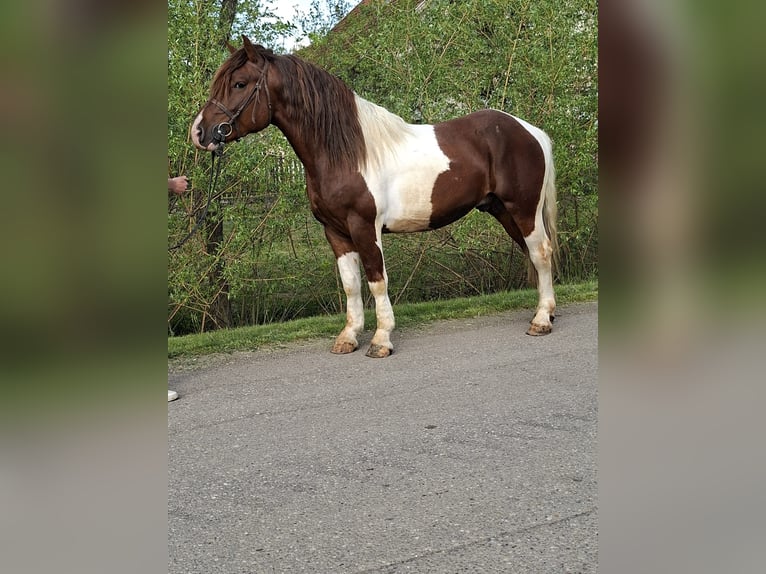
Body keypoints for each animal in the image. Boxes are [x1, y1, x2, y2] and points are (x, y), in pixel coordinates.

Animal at [191, 36, 558, 358]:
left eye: (239, 84)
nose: (200, 133)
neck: (344, 153)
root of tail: (529, 130)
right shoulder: (336, 232)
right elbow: (351, 284)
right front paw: (349, 337)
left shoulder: (365, 227)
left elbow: (376, 281)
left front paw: (381, 340)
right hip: (503, 210)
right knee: (533, 253)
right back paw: (547, 312)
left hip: (523, 209)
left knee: (540, 253)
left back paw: (541, 320)